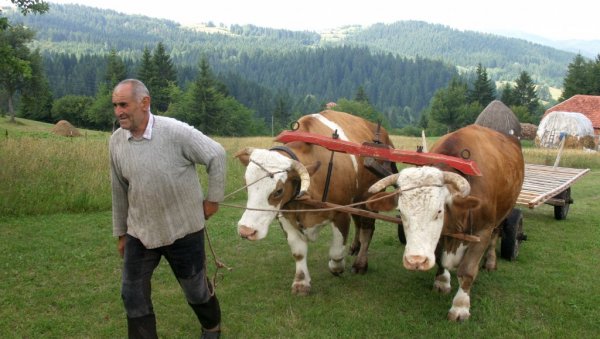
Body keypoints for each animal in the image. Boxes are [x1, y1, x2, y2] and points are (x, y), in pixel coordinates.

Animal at [234, 111, 394, 294]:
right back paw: (355, 246)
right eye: (246, 183)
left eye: (279, 191)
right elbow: (298, 252)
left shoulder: (341, 213)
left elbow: (336, 251)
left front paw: (337, 267)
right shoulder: (285, 216)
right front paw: (301, 282)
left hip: (370, 196)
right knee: (359, 223)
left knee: (367, 228)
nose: (246, 231)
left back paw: (360, 263)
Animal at [364, 125, 524, 322]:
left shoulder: (482, 231)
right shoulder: (442, 235)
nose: (415, 260)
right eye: (400, 211)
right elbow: (440, 258)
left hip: (505, 212)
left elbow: (467, 271)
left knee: (497, 234)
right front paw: (442, 282)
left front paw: (460, 306)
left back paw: (491, 262)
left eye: (439, 211)